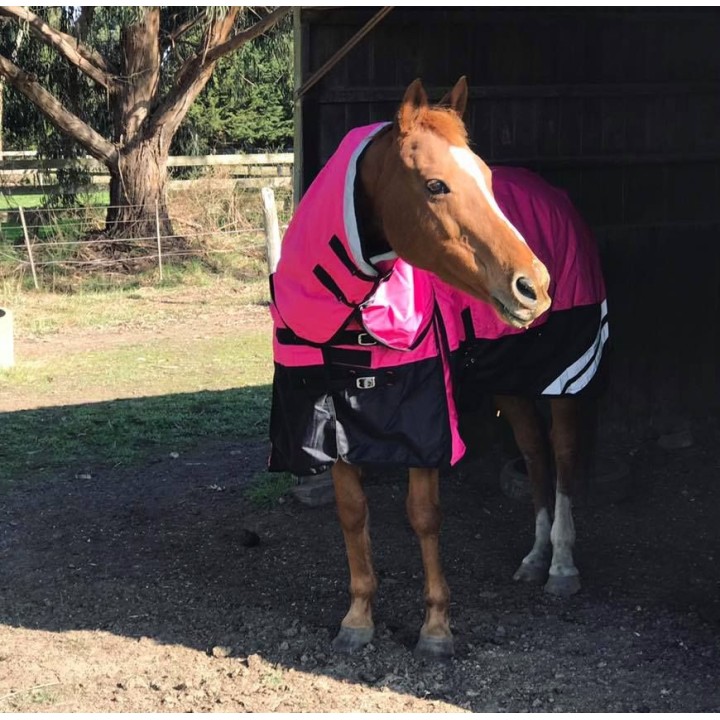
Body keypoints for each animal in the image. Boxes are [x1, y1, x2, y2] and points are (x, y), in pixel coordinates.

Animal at [268, 76, 554, 659]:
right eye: (436, 184)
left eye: (487, 178)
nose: (533, 285)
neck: (351, 312)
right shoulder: (335, 423)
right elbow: (353, 512)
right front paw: (357, 617)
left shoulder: (425, 422)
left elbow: (423, 516)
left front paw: (436, 627)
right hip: (507, 384)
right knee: (536, 456)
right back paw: (536, 559)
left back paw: (561, 565)